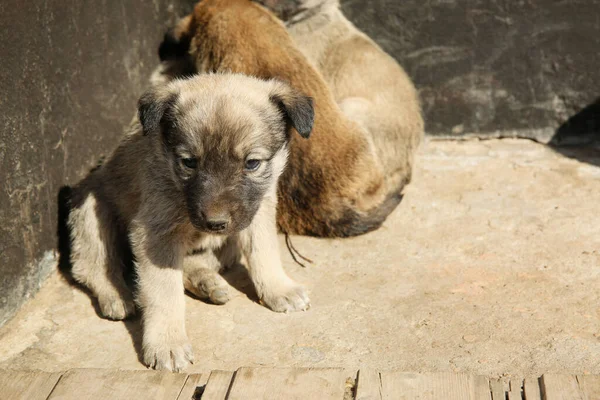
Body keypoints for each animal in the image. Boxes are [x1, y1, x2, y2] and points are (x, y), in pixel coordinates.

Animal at [65, 74, 314, 372]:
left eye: (252, 163)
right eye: (189, 162)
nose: (215, 223)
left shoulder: (257, 210)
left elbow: (264, 252)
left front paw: (278, 288)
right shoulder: (155, 234)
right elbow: (164, 292)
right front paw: (167, 344)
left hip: (228, 244)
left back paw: (206, 282)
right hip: (91, 209)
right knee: (92, 266)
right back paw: (116, 295)